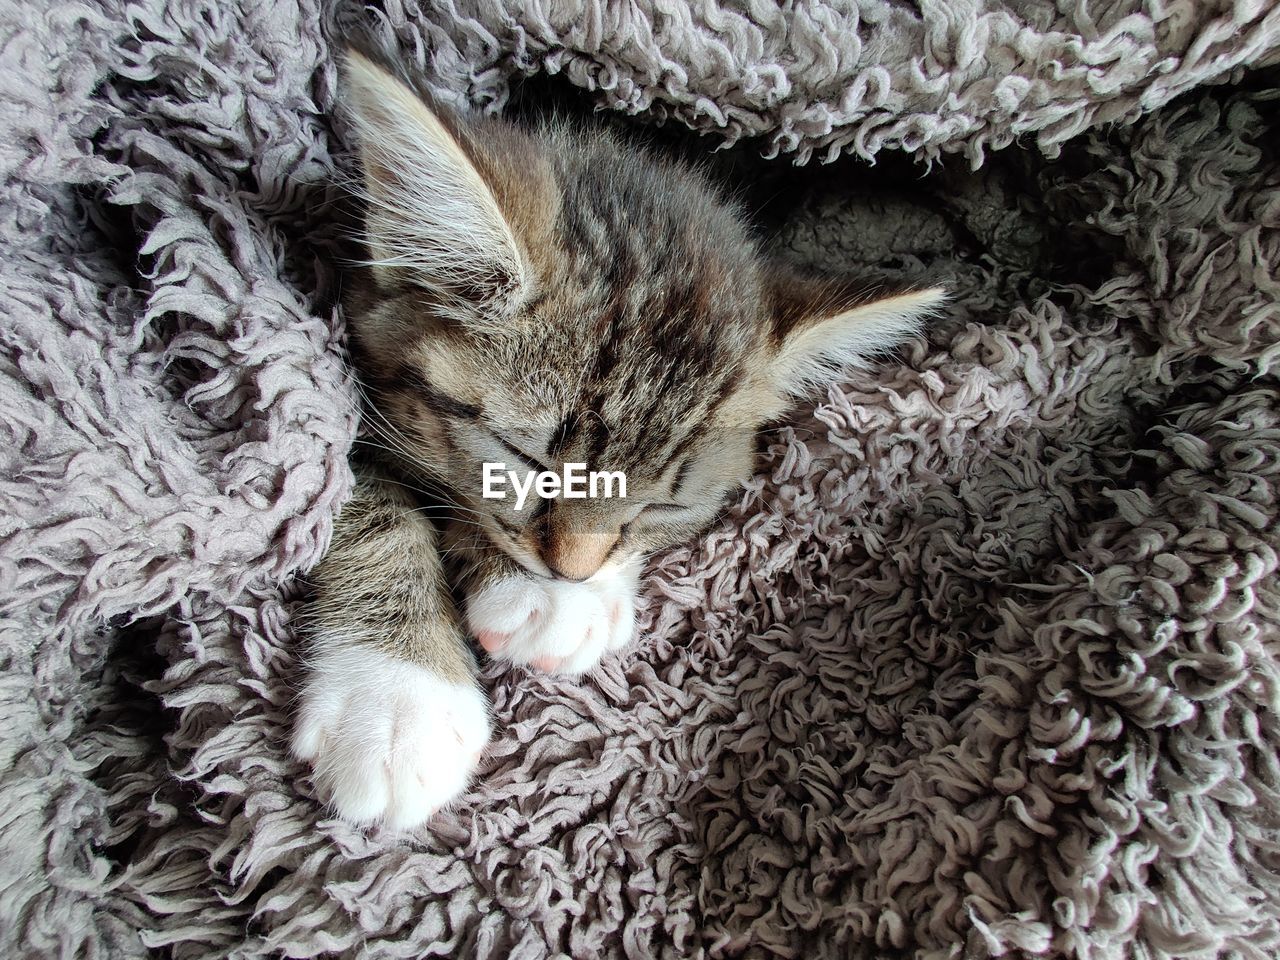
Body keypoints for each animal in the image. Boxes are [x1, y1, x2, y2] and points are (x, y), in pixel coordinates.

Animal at [293, 52, 952, 829]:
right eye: (524, 461)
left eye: (663, 507)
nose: (571, 572)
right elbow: (354, 496)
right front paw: (396, 702)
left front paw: (558, 600)